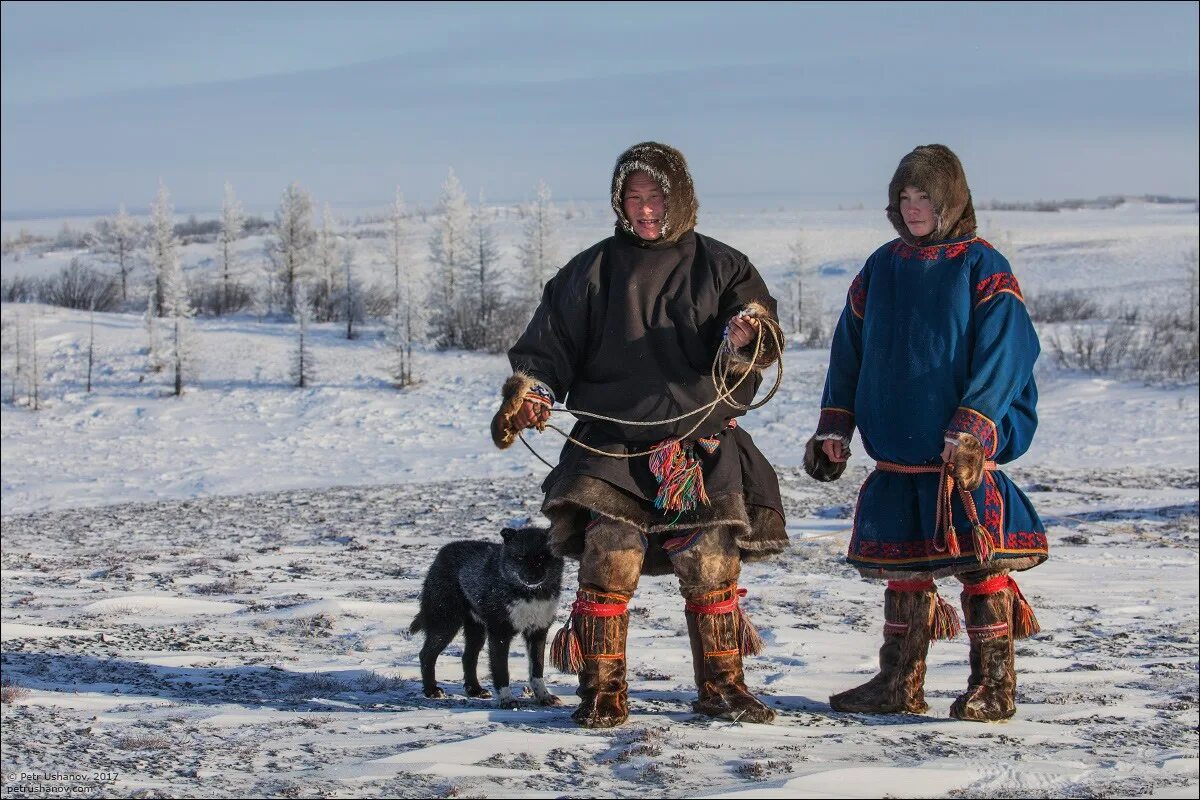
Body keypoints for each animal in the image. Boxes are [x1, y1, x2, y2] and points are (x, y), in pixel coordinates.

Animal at [410, 527, 564, 710]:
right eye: (519, 557)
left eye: (542, 557)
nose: (531, 577)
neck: (529, 595)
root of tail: (443, 551)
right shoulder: (500, 634)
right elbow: (501, 670)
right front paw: (506, 700)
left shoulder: (538, 633)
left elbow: (537, 671)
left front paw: (544, 696)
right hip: (446, 626)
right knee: (426, 655)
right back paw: (431, 690)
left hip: (477, 631)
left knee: (467, 657)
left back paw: (475, 690)